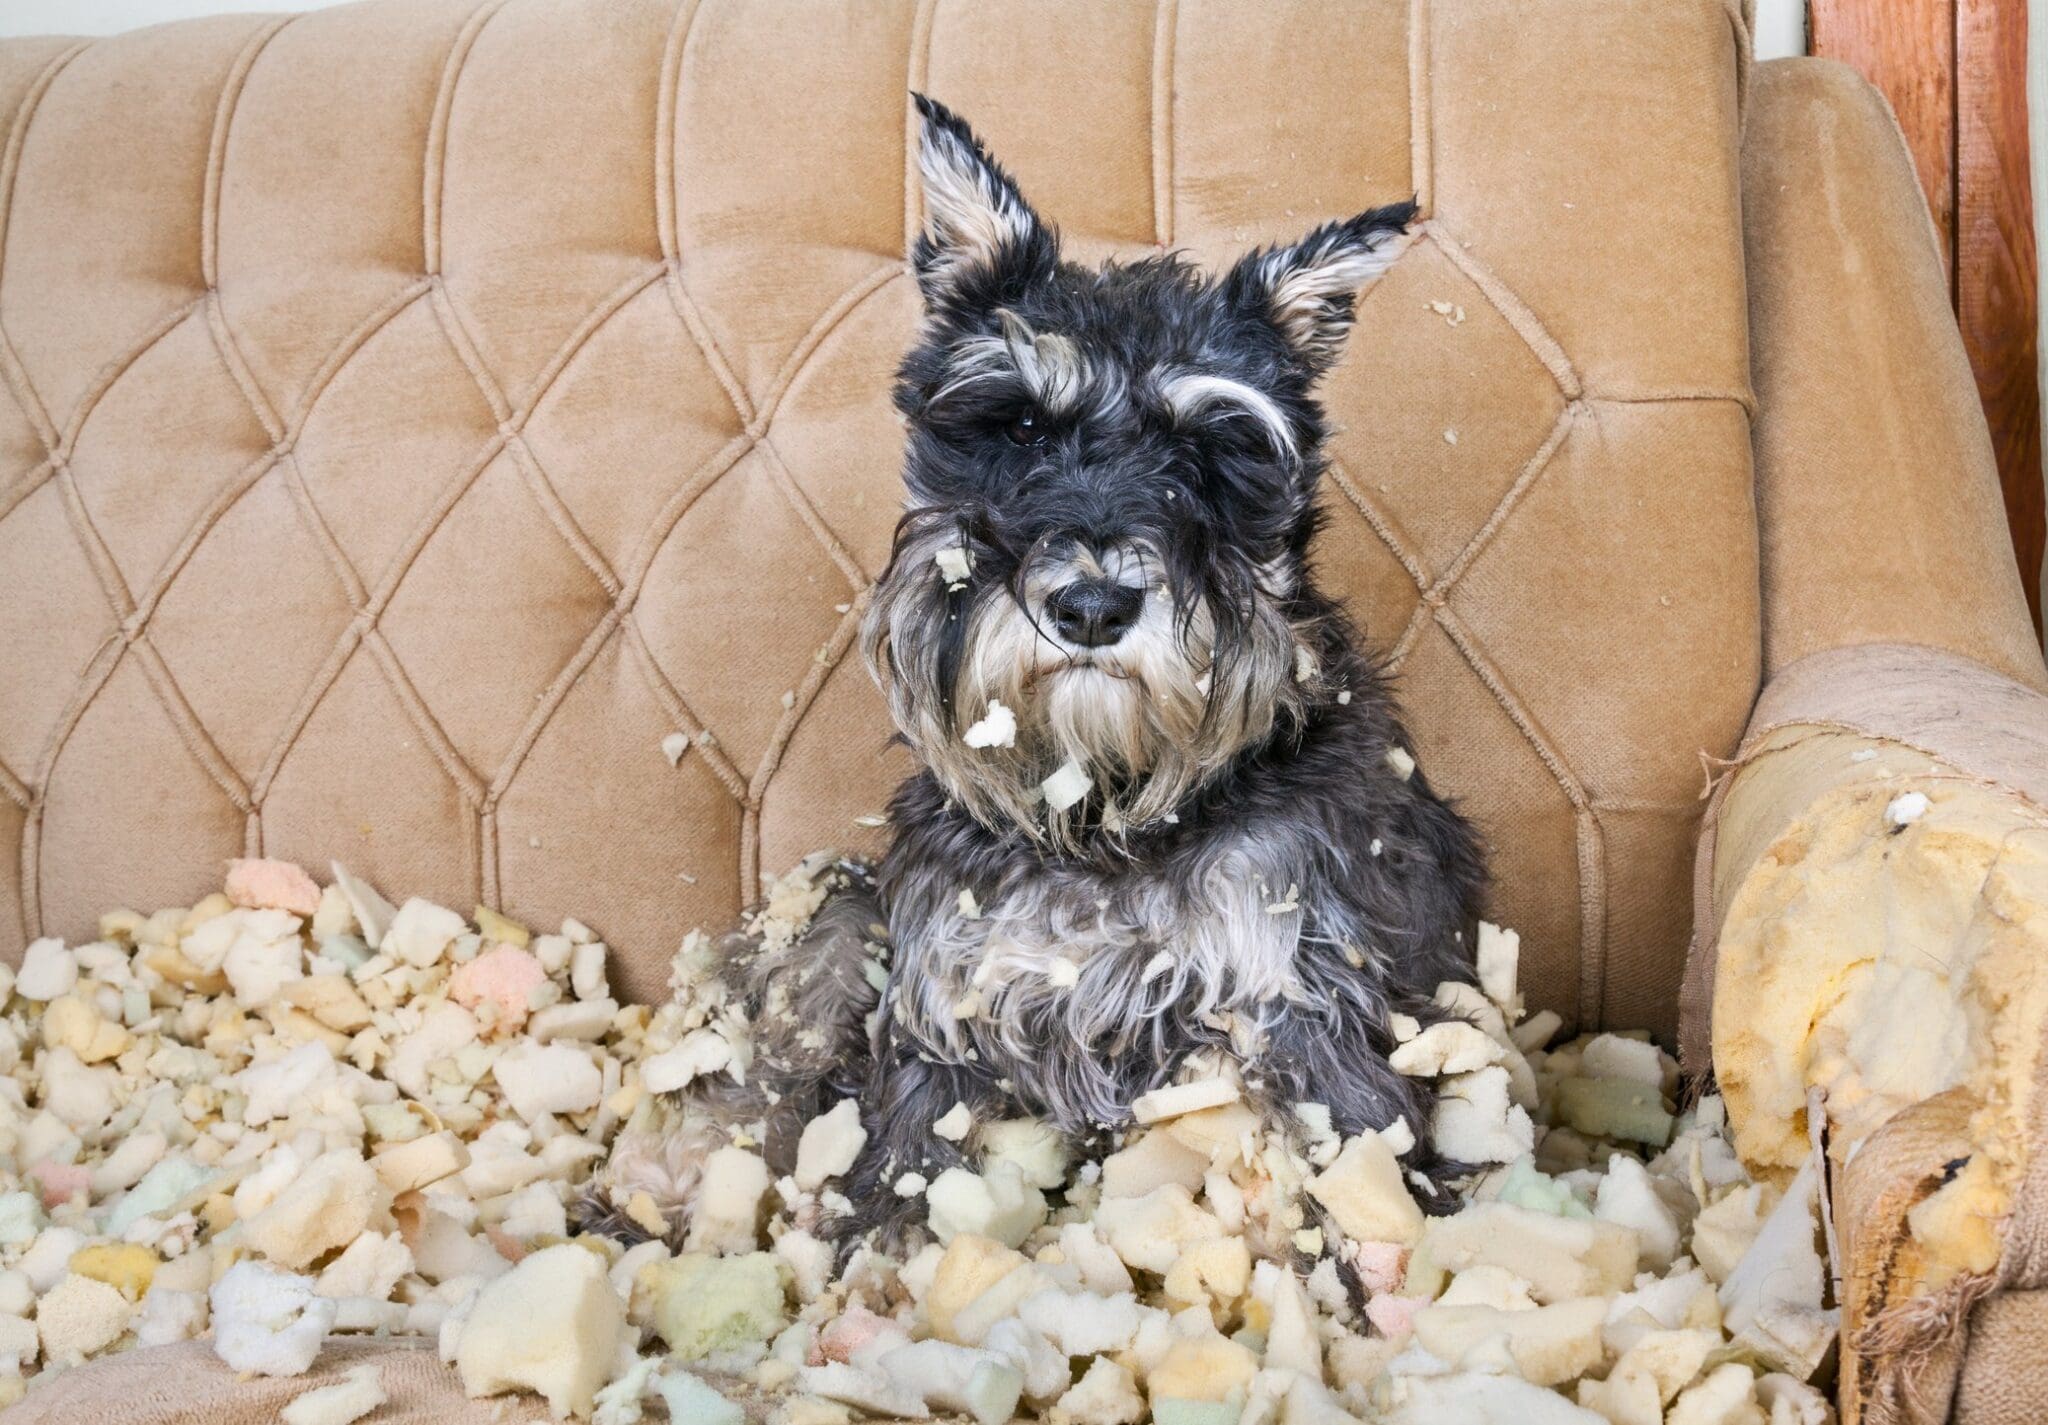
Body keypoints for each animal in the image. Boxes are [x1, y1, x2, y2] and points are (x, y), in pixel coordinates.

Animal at [585, 97, 1482, 1261]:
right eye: (1015, 425)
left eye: (1211, 454)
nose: (1092, 606)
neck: (1105, 816)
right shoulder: (945, 1021)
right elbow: (895, 1179)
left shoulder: (1300, 1006)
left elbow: (1363, 1164)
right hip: (841, 911)